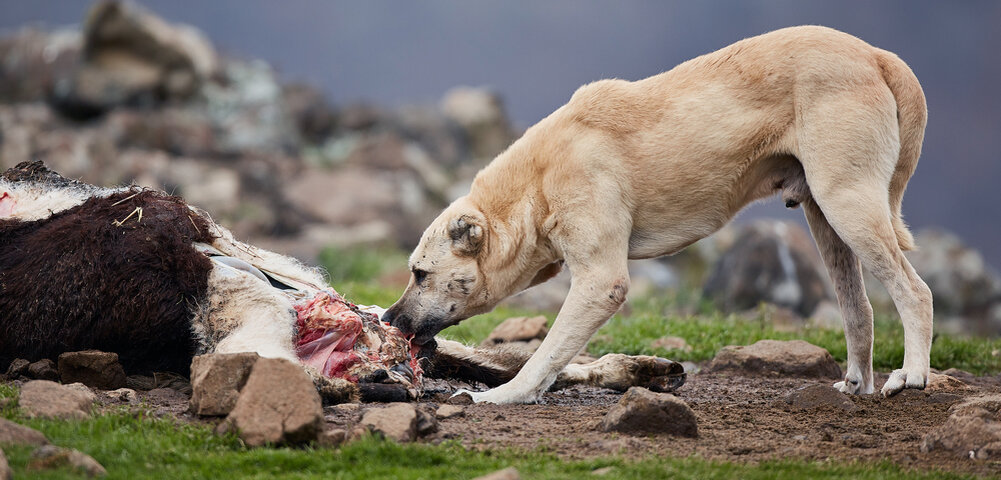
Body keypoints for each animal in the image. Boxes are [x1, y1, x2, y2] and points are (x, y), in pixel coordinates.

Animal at [382, 24, 928, 404]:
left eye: (420, 272)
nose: (388, 318)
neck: (535, 186)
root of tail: (876, 56)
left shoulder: (602, 282)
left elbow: (545, 354)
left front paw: (502, 396)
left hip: (848, 205)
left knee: (915, 292)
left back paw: (914, 376)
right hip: (825, 217)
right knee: (860, 310)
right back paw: (856, 385)